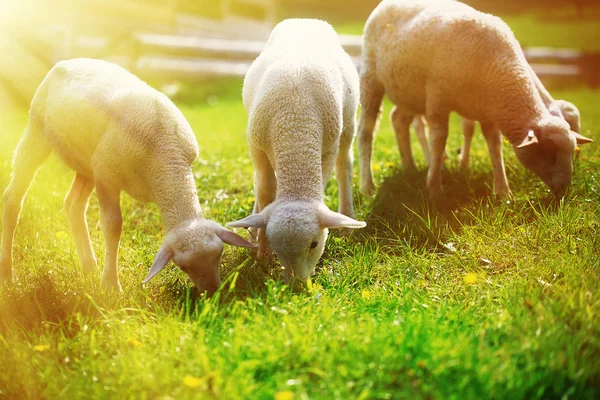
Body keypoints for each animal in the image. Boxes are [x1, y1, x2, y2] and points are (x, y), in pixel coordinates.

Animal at [0, 57, 255, 292]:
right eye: (183, 266)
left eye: (219, 254)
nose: (213, 292)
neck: (166, 157)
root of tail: (70, 60)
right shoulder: (107, 175)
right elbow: (113, 225)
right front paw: (111, 286)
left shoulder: (101, 168)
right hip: (37, 132)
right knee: (13, 197)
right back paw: (8, 273)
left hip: (88, 162)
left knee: (73, 205)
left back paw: (89, 266)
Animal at [227, 18, 366, 282]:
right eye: (277, 246)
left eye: (314, 244)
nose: (296, 285)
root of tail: (306, 20)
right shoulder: (257, 148)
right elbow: (265, 190)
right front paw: (262, 251)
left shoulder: (327, 149)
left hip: (348, 126)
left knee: (345, 166)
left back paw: (347, 214)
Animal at [358, 0, 592, 199]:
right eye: (549, 153)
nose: (565, 190)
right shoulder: (437, 98)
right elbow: (439, 140)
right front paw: (434, 188)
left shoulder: (486, 110)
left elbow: (494, 146)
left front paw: (503, 192)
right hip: (371, 78)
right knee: (366, 132)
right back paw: (368, 187)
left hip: (410, 92)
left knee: (398, 120)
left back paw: (409, 167)